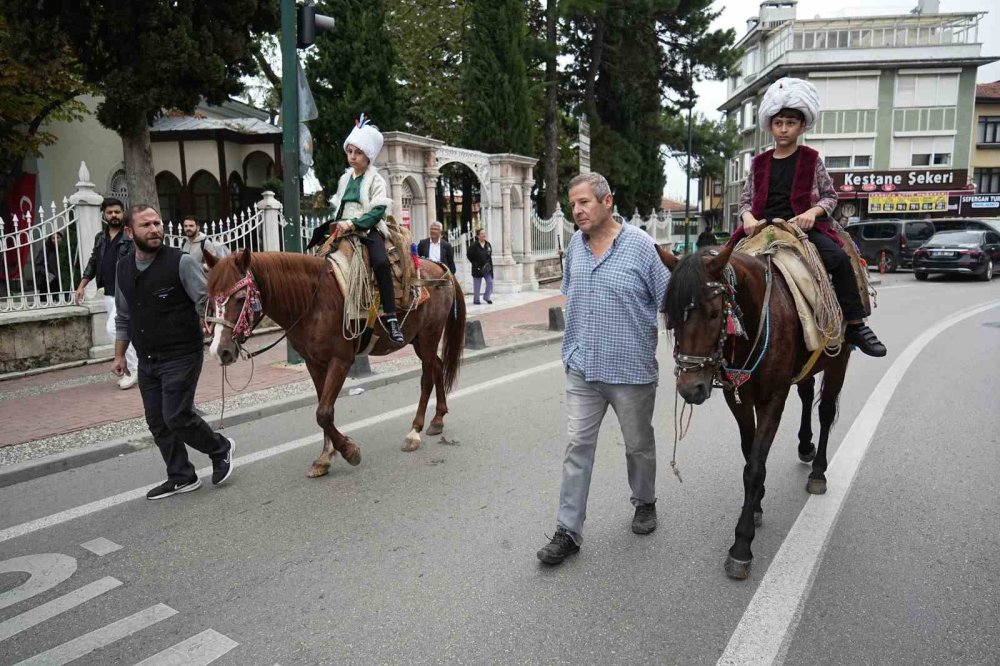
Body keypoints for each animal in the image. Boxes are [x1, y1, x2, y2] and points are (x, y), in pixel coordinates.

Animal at [204, 246, 468, 474]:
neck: (313, 301)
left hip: (429, 336)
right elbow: (323, 407)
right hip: (417, 340)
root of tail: (439, 268)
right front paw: (325, 456)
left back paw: (414, 432)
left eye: (240, 298)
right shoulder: (313, 363)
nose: (220, 350)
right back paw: (438, 419)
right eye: (210, 298)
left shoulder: (340, 361)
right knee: (437, 367)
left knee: (426, 379)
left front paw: (349, 451)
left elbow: (323, 412)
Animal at [656, 241, 852, 580]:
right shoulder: (738, 398)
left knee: (826, 411)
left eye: (714, 313)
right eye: (671, 316)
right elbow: (750, 454)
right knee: (807, 393)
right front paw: (757, 503)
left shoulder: (773, 398)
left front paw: (741, 544)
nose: (690, 389)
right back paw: (805, 445)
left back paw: (818, 472)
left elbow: (755, 466)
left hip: (838, 359)